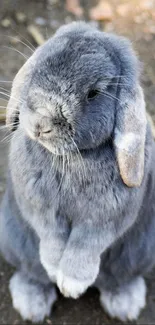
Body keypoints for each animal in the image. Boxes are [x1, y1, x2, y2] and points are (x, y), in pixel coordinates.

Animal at [0, 22, 155, 322]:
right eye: (38, 67)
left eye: (93, 93)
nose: (40, 124)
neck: (70, 158)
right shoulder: (40, 209)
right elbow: (51, 235)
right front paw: (54, 269)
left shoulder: (104, 220)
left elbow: (86, 244)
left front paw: (71, 285)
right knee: (31, 273)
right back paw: (32, 304)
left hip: (140, 253)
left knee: (119, 279)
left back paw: (125, 305)